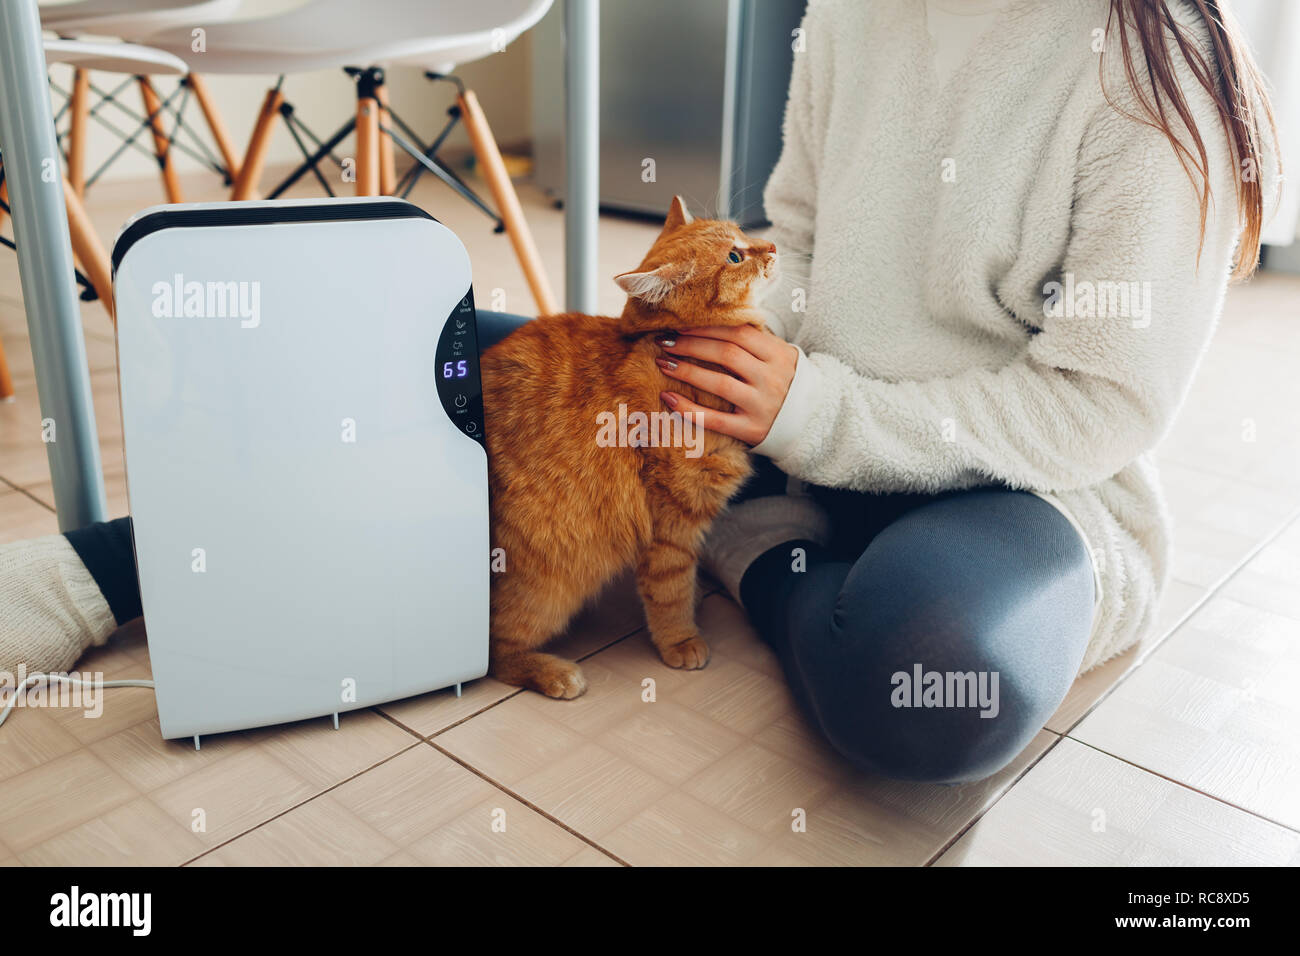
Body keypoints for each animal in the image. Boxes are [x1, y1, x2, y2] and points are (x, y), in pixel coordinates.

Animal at [483, 197, 774, 697]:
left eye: (743, 232)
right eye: (735, 256)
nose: (771, 247)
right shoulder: (672, 525)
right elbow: (670, 591)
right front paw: (681, 640)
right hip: (546, 588)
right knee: (496, 654)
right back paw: (555, 673)